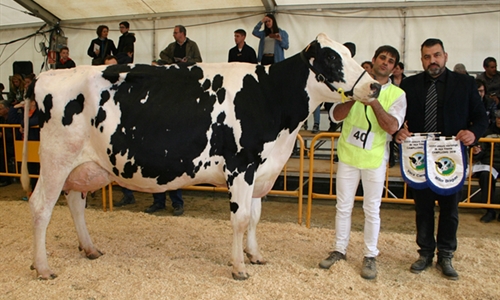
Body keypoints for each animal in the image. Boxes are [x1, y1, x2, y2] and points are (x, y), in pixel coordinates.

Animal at [23, 34, 378, 280]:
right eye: (331, 58)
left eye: (350, 54)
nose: (374, 86)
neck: (269, 96)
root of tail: (44, 76)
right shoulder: (241, 167)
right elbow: (241, 219)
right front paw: (239, 268)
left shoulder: (260, 170)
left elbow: (255, 218)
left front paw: (255, 255)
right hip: (55, 159)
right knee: (41, 207)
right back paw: (42, 267)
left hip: (82, 166)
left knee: (74, 202)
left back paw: (90, 249)